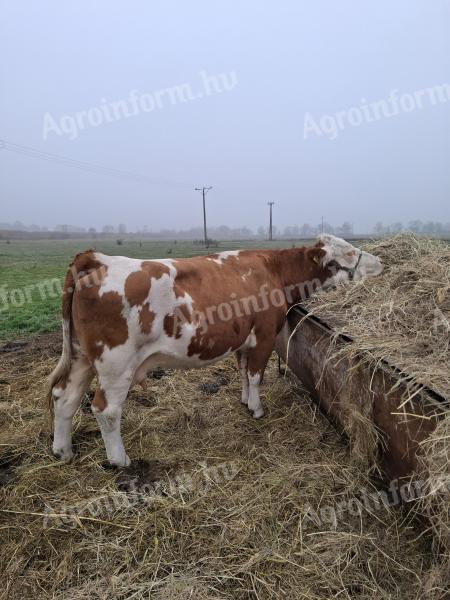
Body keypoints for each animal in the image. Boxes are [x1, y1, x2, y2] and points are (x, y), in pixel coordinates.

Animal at [48, 237, 384, 466]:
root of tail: (97, 259)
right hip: (115, 364)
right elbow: (256, 375)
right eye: (349, 252)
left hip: (81, 356)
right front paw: (257, 409)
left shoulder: (243, 339)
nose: (380, 262)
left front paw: (245, 401)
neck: (273, 271)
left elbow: (244, 373)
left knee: (65, 396)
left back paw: (63, 451)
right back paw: (120, 461)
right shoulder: (265, 335)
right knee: (105, 409)